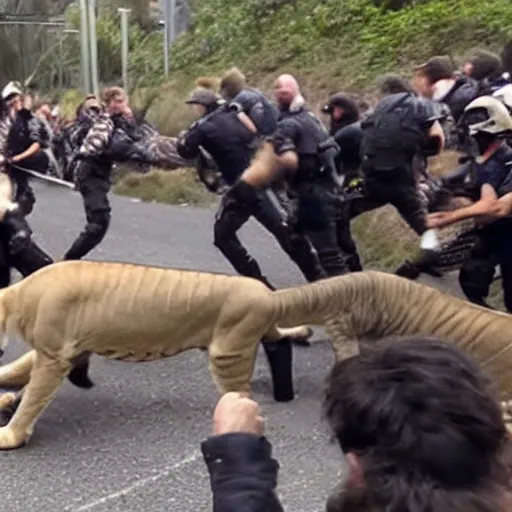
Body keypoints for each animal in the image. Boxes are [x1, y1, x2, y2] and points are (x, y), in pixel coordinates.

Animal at [0, 262, 512, 450]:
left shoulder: (56, 353)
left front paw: (12, 433)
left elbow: (34, 395)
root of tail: (265, 296)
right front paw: (6, 391)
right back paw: (298, 330)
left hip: (226, 352)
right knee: (279, 332)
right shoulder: (63, 349)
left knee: (241, 393)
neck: (16, 298)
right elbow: (19, 371)